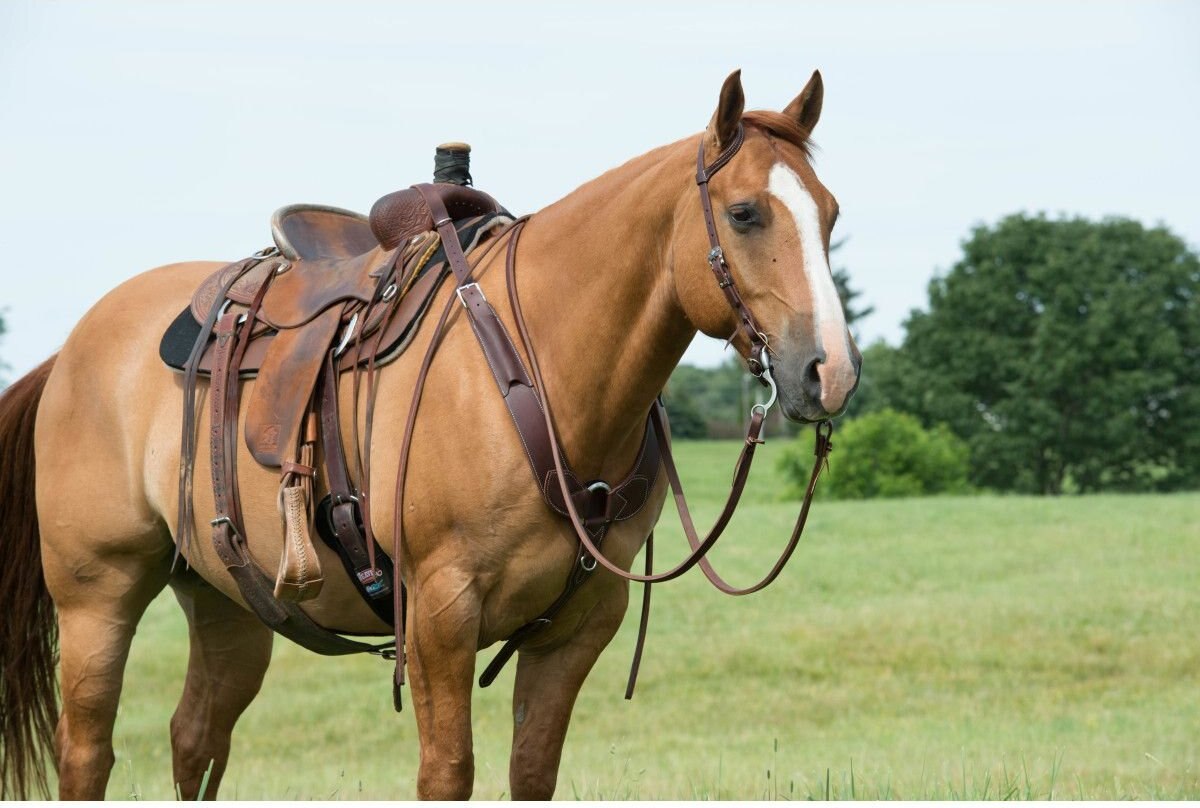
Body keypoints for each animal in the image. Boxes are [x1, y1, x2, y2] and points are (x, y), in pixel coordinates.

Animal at [0, 70, 864, 801]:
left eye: (830, 214)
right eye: (746, 213)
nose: (830, 372)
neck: (538, 366)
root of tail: (69, 351)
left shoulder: (579, 627)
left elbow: (532, 771)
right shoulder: (442, 613)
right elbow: (447, 773)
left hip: (226, 600)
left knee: (195, 739)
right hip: (97, 596)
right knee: (88, 751)